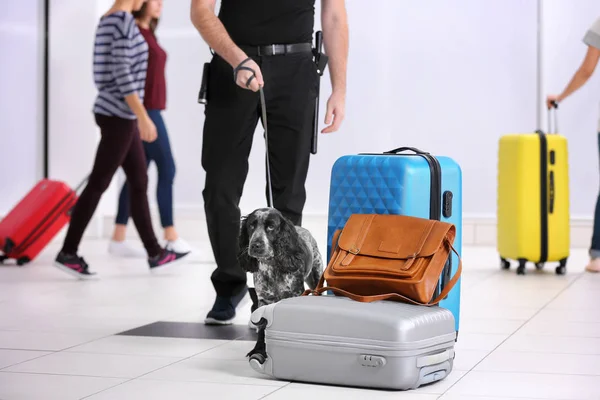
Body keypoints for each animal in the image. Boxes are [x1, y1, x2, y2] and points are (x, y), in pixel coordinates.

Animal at [238, 208, 324, 364]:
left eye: (271, 227)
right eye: (251, 226)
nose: (255, 245)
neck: (272, 266)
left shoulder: (295, 296)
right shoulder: (264, 300)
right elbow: (262, 329)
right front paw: (259, 351)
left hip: (316, 277)